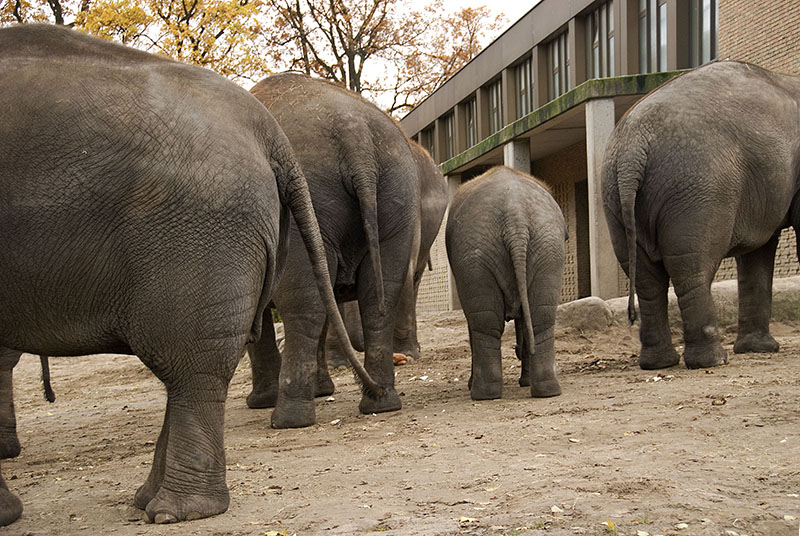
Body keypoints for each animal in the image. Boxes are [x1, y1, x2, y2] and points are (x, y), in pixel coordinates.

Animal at [244, 73, 418, 430]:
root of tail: (355, 134)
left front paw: (259, 403)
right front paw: (322, 391)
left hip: (310, 198)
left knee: (305, 304)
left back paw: (286, 420)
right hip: (398, 194)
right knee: (378, 297)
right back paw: (381, 403)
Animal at [444, 165, 568, 400]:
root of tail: (515, 217)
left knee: (486, 323)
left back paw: (483, 394)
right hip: (545, 249)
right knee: (538, 317)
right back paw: (545, 391)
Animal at [604, 58, 800, 368]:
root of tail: (632, 149)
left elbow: (757, 253)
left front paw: (758, 349)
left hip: (616, 197)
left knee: (648, 281)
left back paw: (659, 363)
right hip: (697, 187)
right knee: (691, 267)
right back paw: (712, 361)